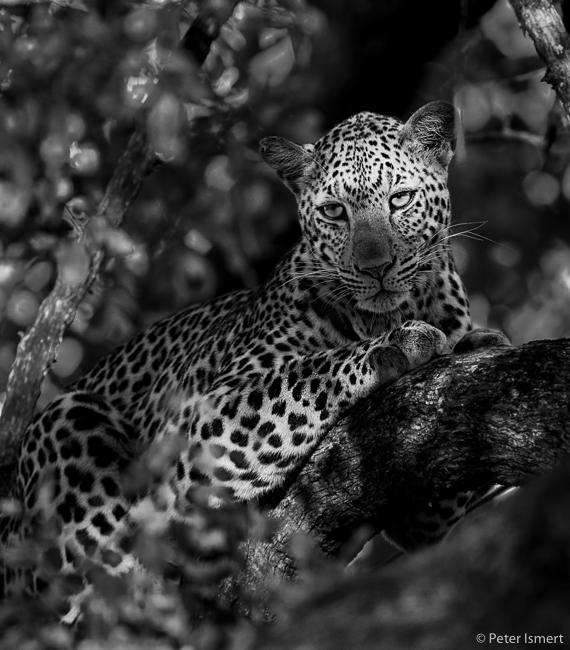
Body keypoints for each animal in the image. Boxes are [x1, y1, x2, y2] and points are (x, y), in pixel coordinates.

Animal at [0, 100, 508, 622]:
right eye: (334, 211)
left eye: (401, 199)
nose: (376, 268)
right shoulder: (204, 417)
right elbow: (302, 373)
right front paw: (400, 344)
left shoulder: (419, 518)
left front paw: (476, 342)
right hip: (67, 419)